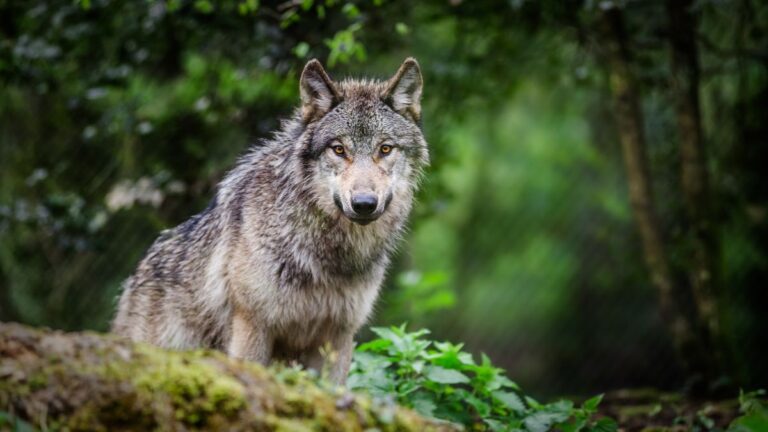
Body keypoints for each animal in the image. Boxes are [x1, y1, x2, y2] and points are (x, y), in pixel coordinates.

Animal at [112, 58, 428, 383]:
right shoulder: (252, 326)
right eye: (339, 149)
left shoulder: (338, 336)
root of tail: (135, 276)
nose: (364, 204)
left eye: (385, 149)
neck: (327, 256)